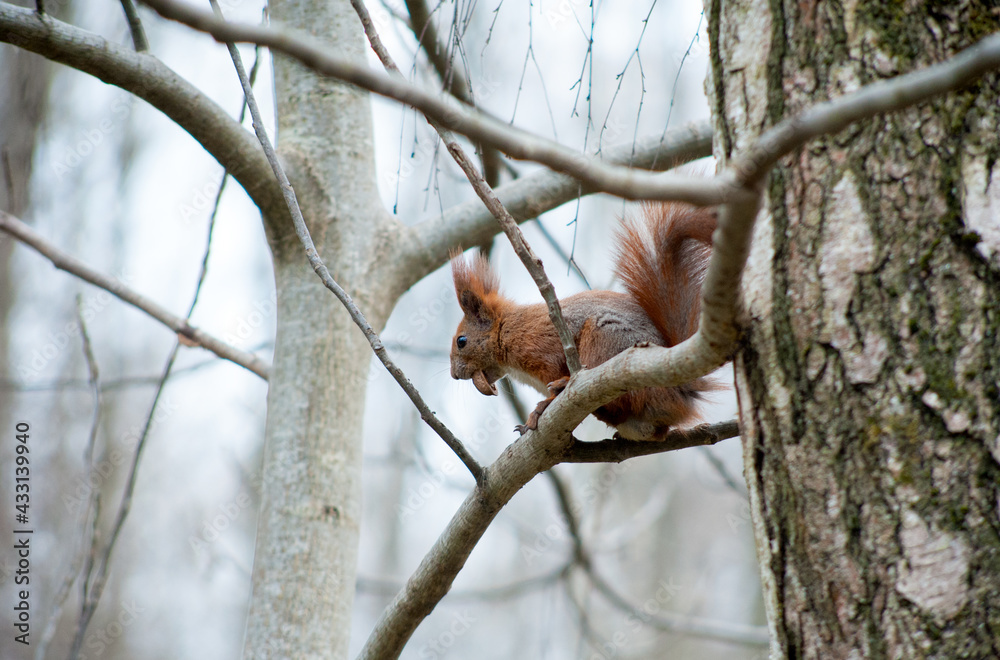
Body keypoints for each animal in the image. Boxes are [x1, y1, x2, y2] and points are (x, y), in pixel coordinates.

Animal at [450, 201, 716, 438]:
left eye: (461, 341)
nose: (454, 375)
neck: (507, 330)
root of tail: (679, 392)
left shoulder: (543, 350)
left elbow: (553, 371)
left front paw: (540, 410)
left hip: (605, 341)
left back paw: (564, 389)